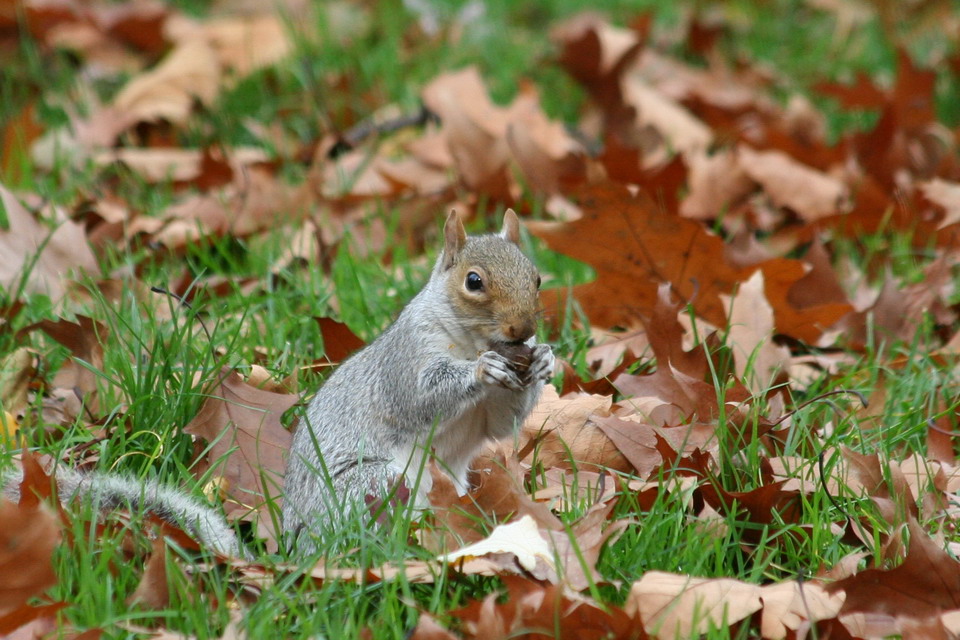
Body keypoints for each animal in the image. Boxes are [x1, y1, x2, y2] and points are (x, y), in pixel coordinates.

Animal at [2, 210, 554, 557]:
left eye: (538, 278)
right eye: (473, 282)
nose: (524, 329)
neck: (468, 340)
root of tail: (297, 554)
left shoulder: (486, 410)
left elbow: (497, 424)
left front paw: (545, 361)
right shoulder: (404, 360)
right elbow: (423, 396)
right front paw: (481, 371)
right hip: (371, 485)